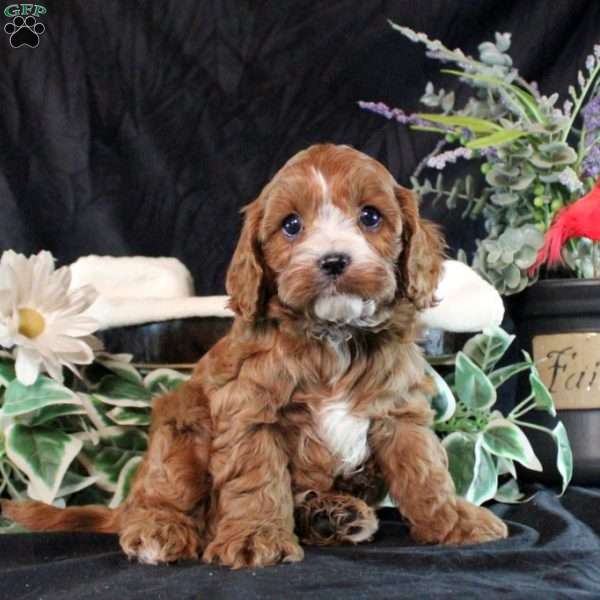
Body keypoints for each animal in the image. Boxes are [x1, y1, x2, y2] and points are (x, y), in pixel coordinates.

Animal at [1, 144, 506, 568]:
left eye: (370, 216)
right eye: (292, 225)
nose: (334, 261)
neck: (334, 336)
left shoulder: (399, 411)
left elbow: (426, 471)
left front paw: (453, 520)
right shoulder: (250, 411)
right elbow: (256, 480)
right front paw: (254, 538)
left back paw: (331, 514)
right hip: (179, 430)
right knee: (161, 497)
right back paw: (159, 530)